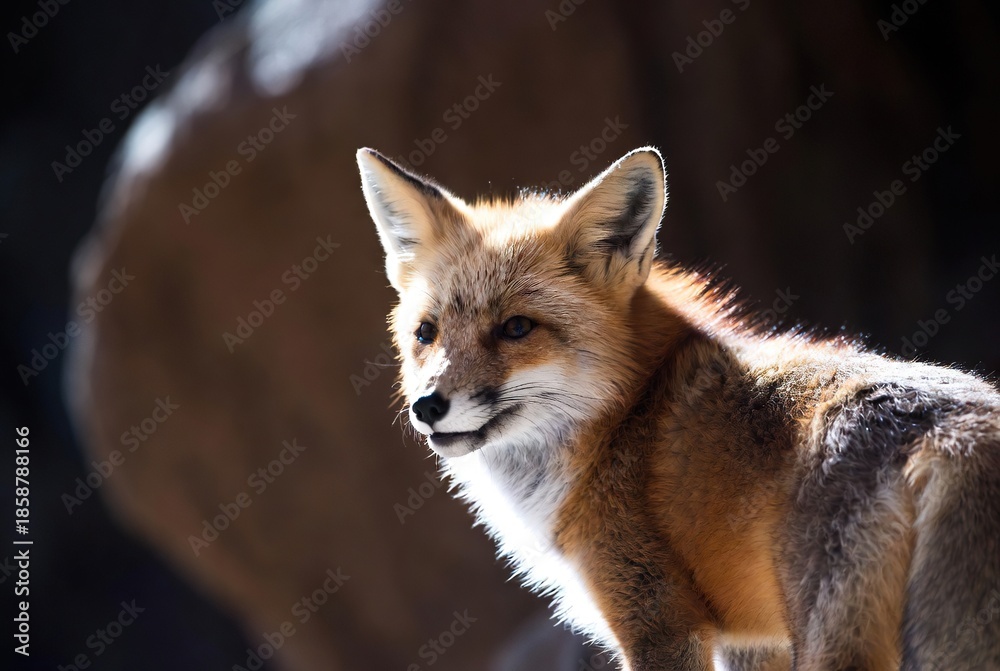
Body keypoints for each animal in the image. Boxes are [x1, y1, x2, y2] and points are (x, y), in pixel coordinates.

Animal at [356, 146, 1000, 671]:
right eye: (426, 333)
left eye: (516, 328)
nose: (427, 405)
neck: (620, 420)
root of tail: (956, 430)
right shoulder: (752, 641)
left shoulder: (658, 623)